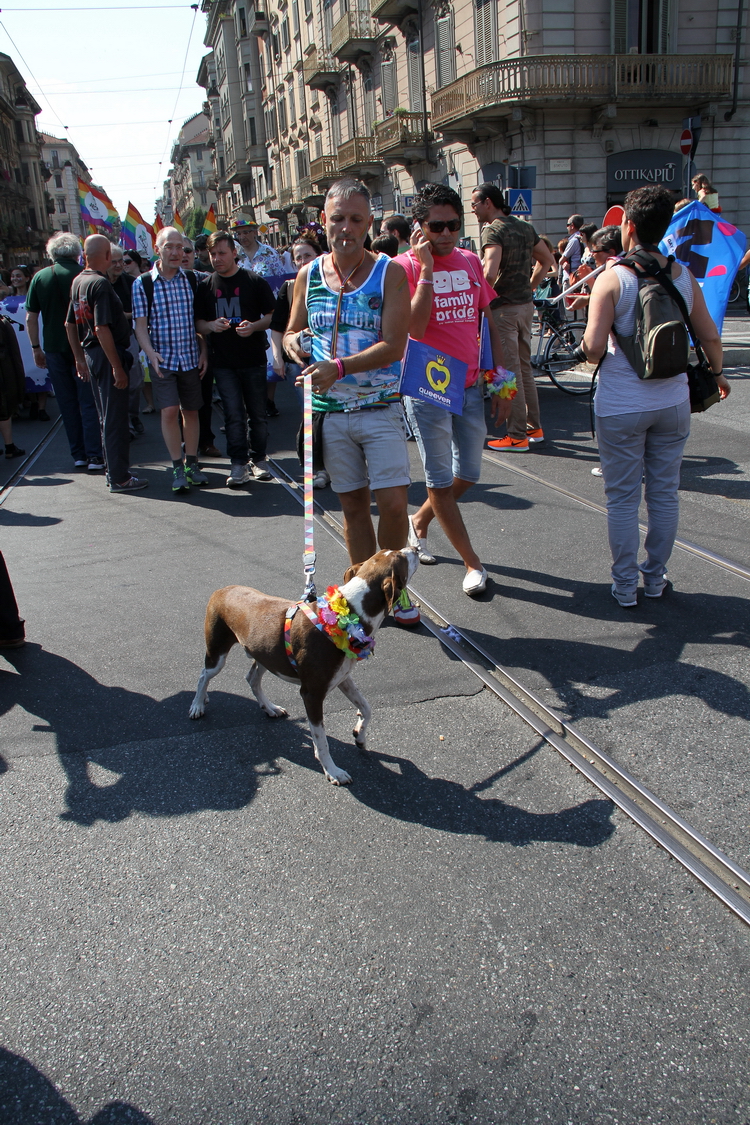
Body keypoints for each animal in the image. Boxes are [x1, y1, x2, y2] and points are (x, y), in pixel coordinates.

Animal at [187, 549, 420, 787]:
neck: (348, 615)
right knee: (204, 675)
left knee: (252, 678)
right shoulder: (312, 694)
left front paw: (360, 735)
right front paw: (333, 771)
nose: (415, 550)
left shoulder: (343, 678)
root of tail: (222, 590)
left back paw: (269, 708)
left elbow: (366, 708)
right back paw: (197, 704)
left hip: (265, 654)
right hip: (217, 650)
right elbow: (321, 741)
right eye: (401, 558)